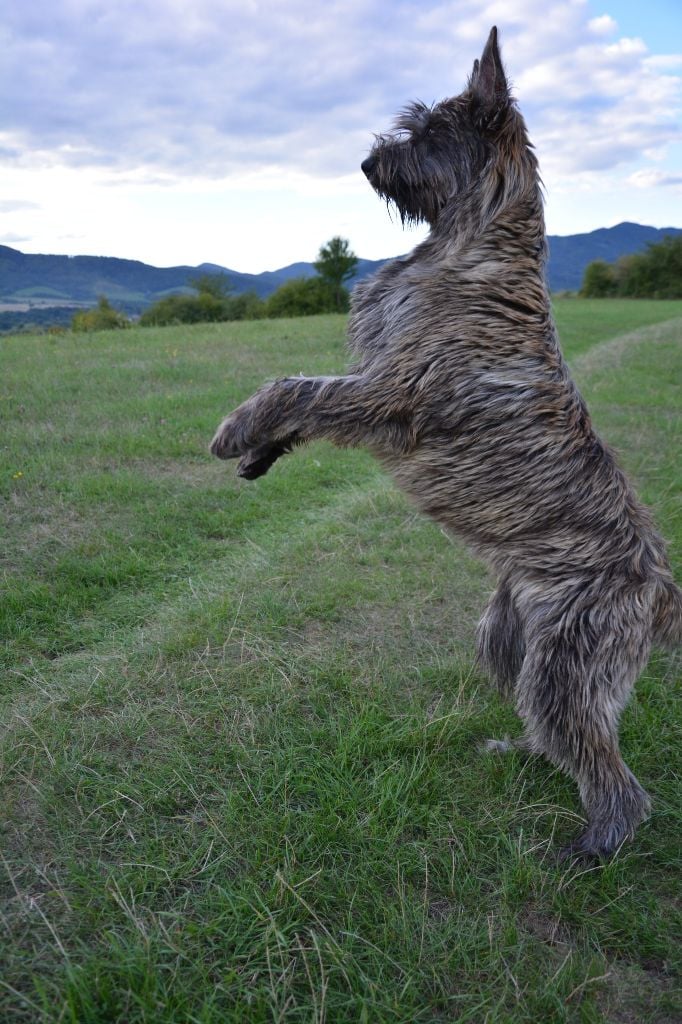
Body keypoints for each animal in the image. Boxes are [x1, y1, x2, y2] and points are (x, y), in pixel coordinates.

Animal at [209, 28, 675, 856]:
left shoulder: (394, 390)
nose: (369, 161)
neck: (471, 246)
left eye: (427, 131)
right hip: (506, 638)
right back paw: (523, 754)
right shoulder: (375, 378)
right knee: (559, 735)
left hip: (566, 664)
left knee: (613, 775)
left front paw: (239, 429)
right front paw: (261, 451)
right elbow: (307, 403)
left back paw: (590, 847)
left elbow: (298, 388)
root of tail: (656, 589)